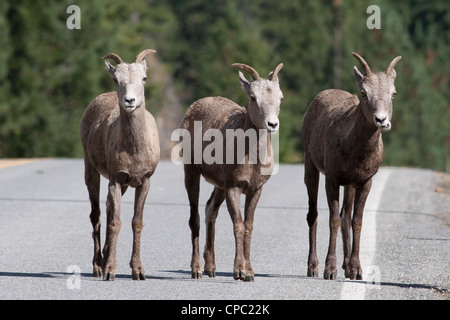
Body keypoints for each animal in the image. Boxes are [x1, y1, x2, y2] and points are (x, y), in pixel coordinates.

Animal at [79, 49, 160, 280]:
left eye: (144, 78)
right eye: (116, 80)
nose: (129, 100)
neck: (134, 149)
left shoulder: (143, 181)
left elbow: (136, 222)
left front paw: (138, 271)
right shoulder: (115, 179)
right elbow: (116, 223)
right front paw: (109, 271)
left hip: (123, 186)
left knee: (106, 208)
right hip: (91, 172)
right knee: (96, 215)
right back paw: (98, 266)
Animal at [179, 63, 282, 282]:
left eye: (280, 98)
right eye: (253, 97)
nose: (272, 124)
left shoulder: (255, 190)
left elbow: (249, 226)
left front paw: (250, 273)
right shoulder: (234, 188)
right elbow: (239, 225)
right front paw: (239, 272)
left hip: (219, 185)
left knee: (210, 210)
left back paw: (211, 268)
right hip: (191, 171)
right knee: (195, 218)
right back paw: (196, 270)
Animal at [302, 52, 400, 280]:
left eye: (393, 94)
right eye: (364, 93)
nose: (381, 120)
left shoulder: (364, 181)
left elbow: (356, 220)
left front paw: (356, 270)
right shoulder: (332, 179)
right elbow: (333, 220)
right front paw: (330, 270)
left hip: (349, 185)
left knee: (345, 216)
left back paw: (346, 266)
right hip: (311, 166)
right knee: (313, 214)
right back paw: (312, 267)